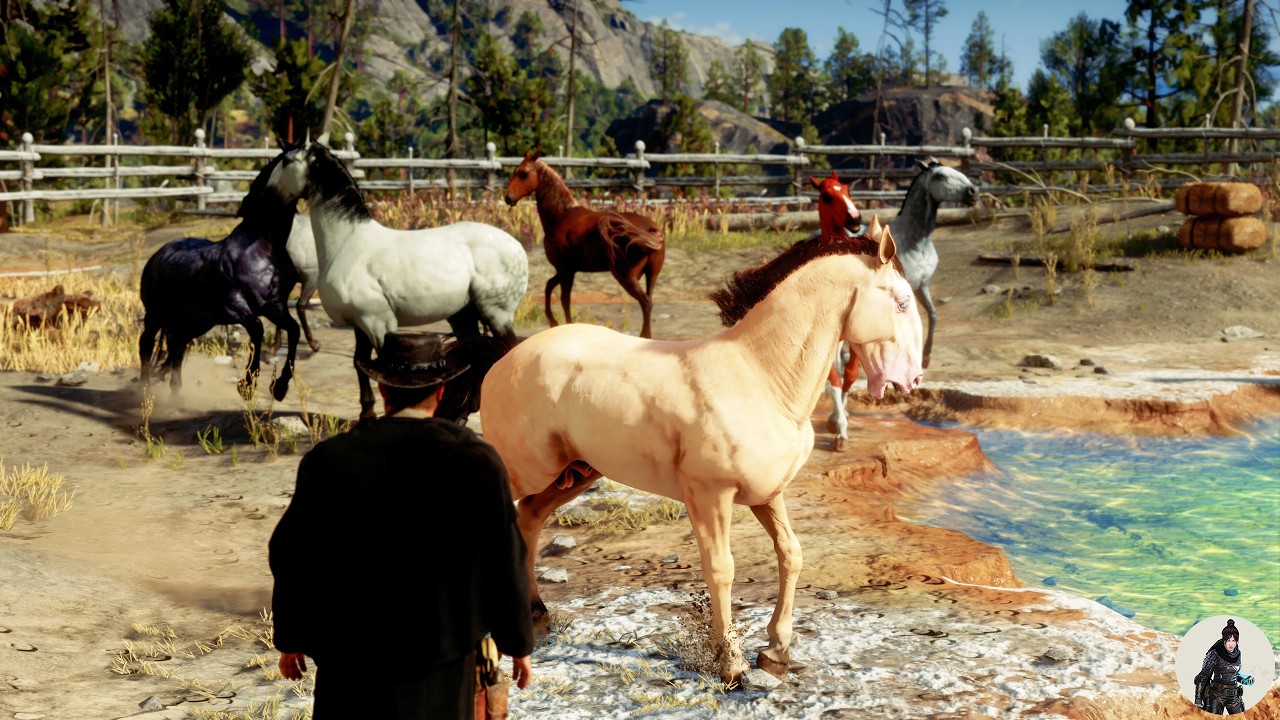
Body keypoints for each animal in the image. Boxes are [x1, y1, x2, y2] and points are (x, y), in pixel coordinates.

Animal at [139, 147, 302, 403]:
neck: (262, 245)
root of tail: (158, 256)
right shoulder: (234, 305)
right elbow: (257, 329)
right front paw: (247, 385)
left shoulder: (275, 306)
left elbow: (293, 330)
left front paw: (279, 387)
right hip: (156, 314)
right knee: (146, 345)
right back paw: (145, 392)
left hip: (196, 320)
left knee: (177, 347)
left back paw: (178, 396)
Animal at [268, 134, 528, 420]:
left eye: (286, 161)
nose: (268, 194)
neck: (347, 242)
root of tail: (517, 246)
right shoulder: (359, 323)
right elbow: (360, 363)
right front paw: (367, 414)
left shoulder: (377, 322)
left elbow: (384, 367)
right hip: (464, 316)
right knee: (478, 355)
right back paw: (463, 413)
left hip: (497, 314)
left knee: (507, 351)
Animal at [478, 216, 923, 685]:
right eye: (902, 302)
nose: (911, 380)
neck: (761, 378)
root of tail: (504, 360)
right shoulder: (710, 495)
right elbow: (721, 568)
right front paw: (731, 662)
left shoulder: (768, 494)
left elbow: (791, 554)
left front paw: (776, 652)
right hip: (526, 468)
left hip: (576, 472)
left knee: (529, 518)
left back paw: (537, 615)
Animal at [504, 152, 665, 339]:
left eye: (523, 173)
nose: (508, 197)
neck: (561, 215)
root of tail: (651, 230)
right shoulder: (566, 270)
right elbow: (549, 287)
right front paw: (553, 321)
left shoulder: (565, 270)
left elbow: (564, 299)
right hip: (651, 276)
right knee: (650, 301)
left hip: (626, 276)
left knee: (645, 302)